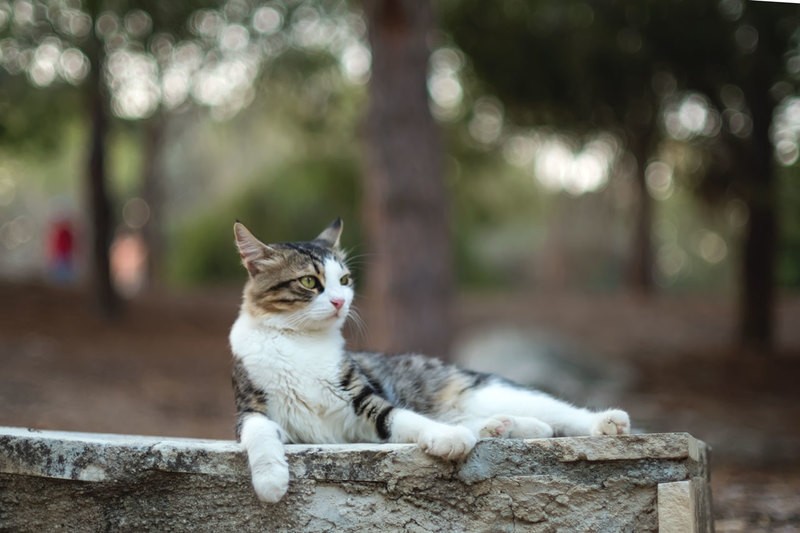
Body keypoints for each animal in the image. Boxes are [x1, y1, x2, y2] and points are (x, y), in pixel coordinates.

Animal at [228, 219, 628, 502]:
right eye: (310, 282)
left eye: (344, 280)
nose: (341, 301)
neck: (301, 342)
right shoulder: (251, 408)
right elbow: (260, 436)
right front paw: (271, 481)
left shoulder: (362, 400)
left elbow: (403, 418)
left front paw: (446, 439)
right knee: (518, 423)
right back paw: (502, 427)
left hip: (489, 391)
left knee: (559, 412)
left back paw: (603, 422)